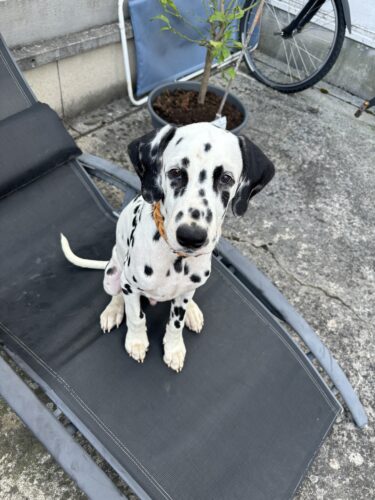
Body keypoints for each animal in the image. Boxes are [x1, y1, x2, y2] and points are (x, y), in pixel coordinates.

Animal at [61, 121, 274, 372]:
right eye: (175, 173)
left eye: (226, 178)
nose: (191, 236)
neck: (176, 259)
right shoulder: (131, 286)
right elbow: (136, 316)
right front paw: (136, 341)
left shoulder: (182, 295)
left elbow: (175, 323)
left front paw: (174, 348)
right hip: (113, 273)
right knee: (116, 294)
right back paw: (113, 311)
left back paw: (192, 311)